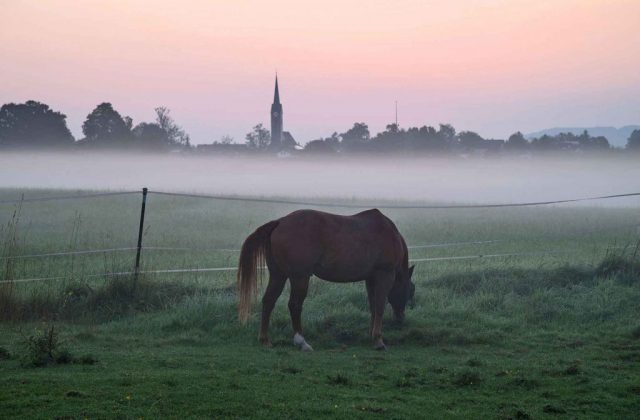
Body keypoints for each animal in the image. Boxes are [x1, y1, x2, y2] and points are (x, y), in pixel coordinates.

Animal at [237, 208, 415, 351]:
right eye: (410, 290)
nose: (401, 319)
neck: (389, 233)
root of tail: (280, 222)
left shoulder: (371, 279)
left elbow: (372, 307)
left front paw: (372, 336)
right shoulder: (385, 275)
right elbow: (379, 307)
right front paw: (378, 340)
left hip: (278, 275)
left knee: (269, 301)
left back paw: (264, 339)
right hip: (300, 278)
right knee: (294, 305)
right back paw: (301, 342)